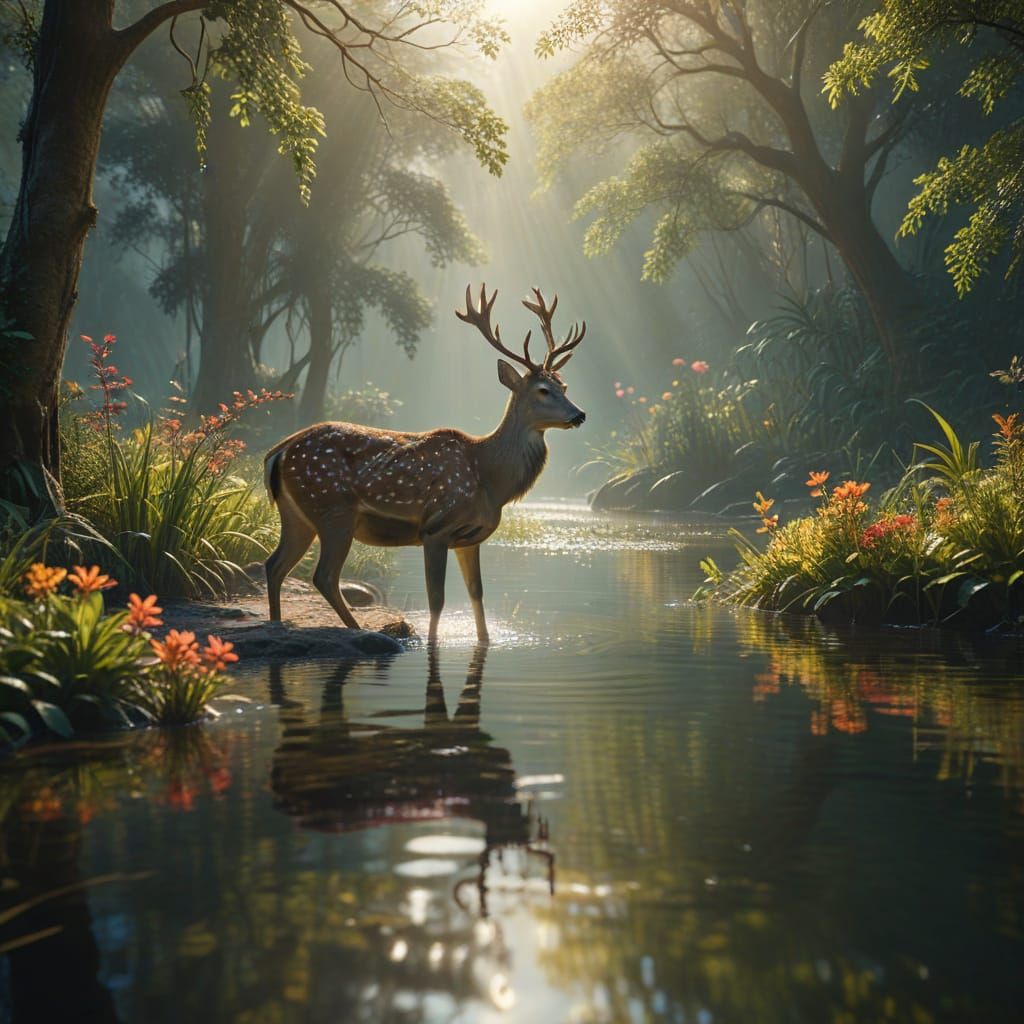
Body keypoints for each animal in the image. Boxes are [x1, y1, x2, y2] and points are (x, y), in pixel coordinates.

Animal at [263, 283, 587, 643]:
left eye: (564, 385)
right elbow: (437, 599)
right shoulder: (436, 527)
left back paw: (279, 624)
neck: (488, 477)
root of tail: (278, 452)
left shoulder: (470, 538)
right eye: (543, 390)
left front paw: (485, 640)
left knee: (275, 565)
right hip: (332, 509)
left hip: (297, 514)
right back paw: (360, 629)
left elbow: (477, 594)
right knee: (323, 575)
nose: (579, 415)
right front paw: (432, 642)